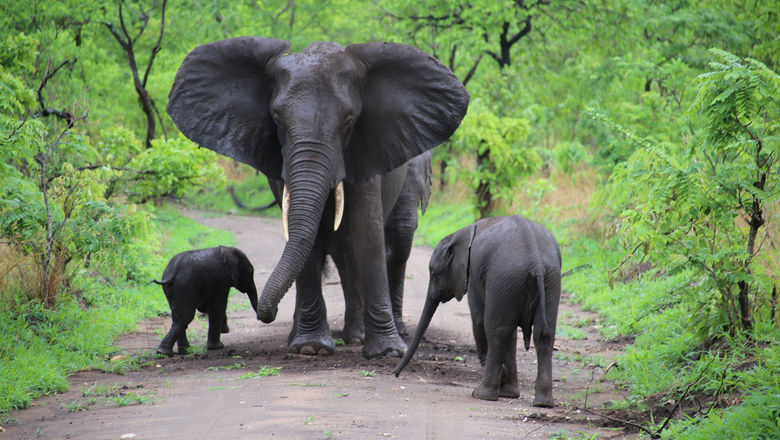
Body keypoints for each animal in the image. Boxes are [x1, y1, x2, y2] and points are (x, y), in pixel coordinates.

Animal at [166, 37, 469, 358]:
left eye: (349, 121)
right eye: (277, 120)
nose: (266, 314)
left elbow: (367, 234)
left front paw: (386, 352)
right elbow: (305, 238)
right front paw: (310, 347)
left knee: (395, 243)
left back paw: (380, 334)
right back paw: (343, 336)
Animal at [393, 215, 561, 407]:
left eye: (434, 274)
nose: (395, 374)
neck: (462, 233)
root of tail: (536, 263)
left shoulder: (473, 274)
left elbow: (479, 321)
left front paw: (502, 384)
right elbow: (511, 332)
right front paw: (509, 392)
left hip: (505, 277)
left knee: (496, 331)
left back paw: (482, 394)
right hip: (550, 280)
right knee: (543, 335)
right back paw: (543, 403)